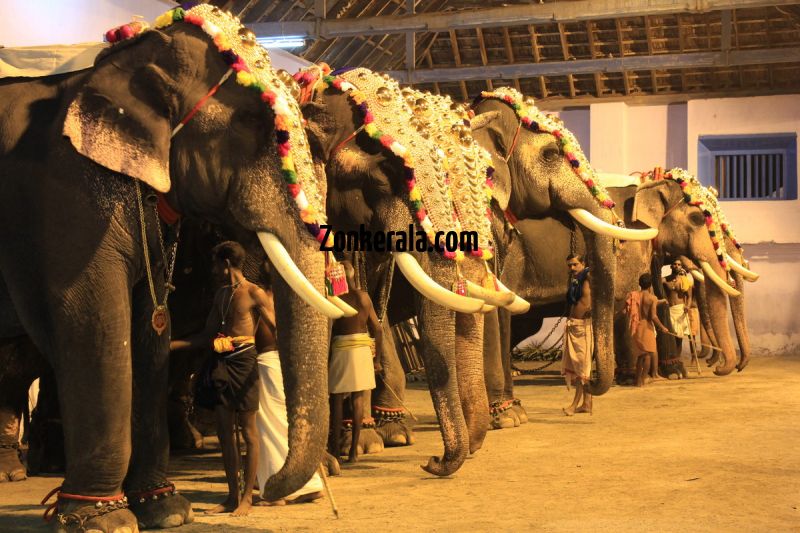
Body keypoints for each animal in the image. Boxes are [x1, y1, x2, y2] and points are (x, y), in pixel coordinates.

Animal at [0, 6, 344, 528]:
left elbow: (149, 327)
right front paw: (102, 520)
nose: (272, 490)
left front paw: (167, 510)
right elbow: (92, 324)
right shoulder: (67, 198)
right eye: (252, 123)